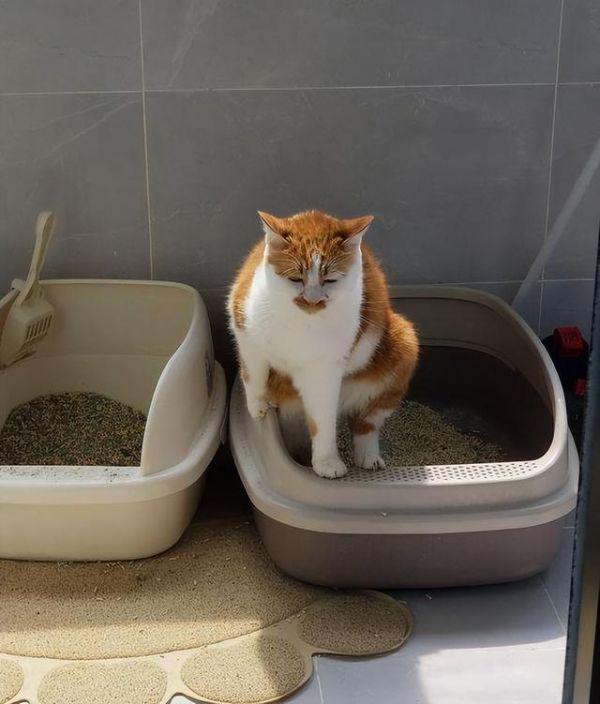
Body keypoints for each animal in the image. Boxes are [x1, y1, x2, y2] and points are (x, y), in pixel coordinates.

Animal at [228, 209, 419, 479]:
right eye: (295, 278)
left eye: (330, 280)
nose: (312, 300)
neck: (299, 322)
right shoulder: (244, 330)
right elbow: (253, 375)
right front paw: (258, 407)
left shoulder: (324, 372)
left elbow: (322, 421)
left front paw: (327, 462)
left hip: (403, 342)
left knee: (366, 421)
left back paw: (368, 456)